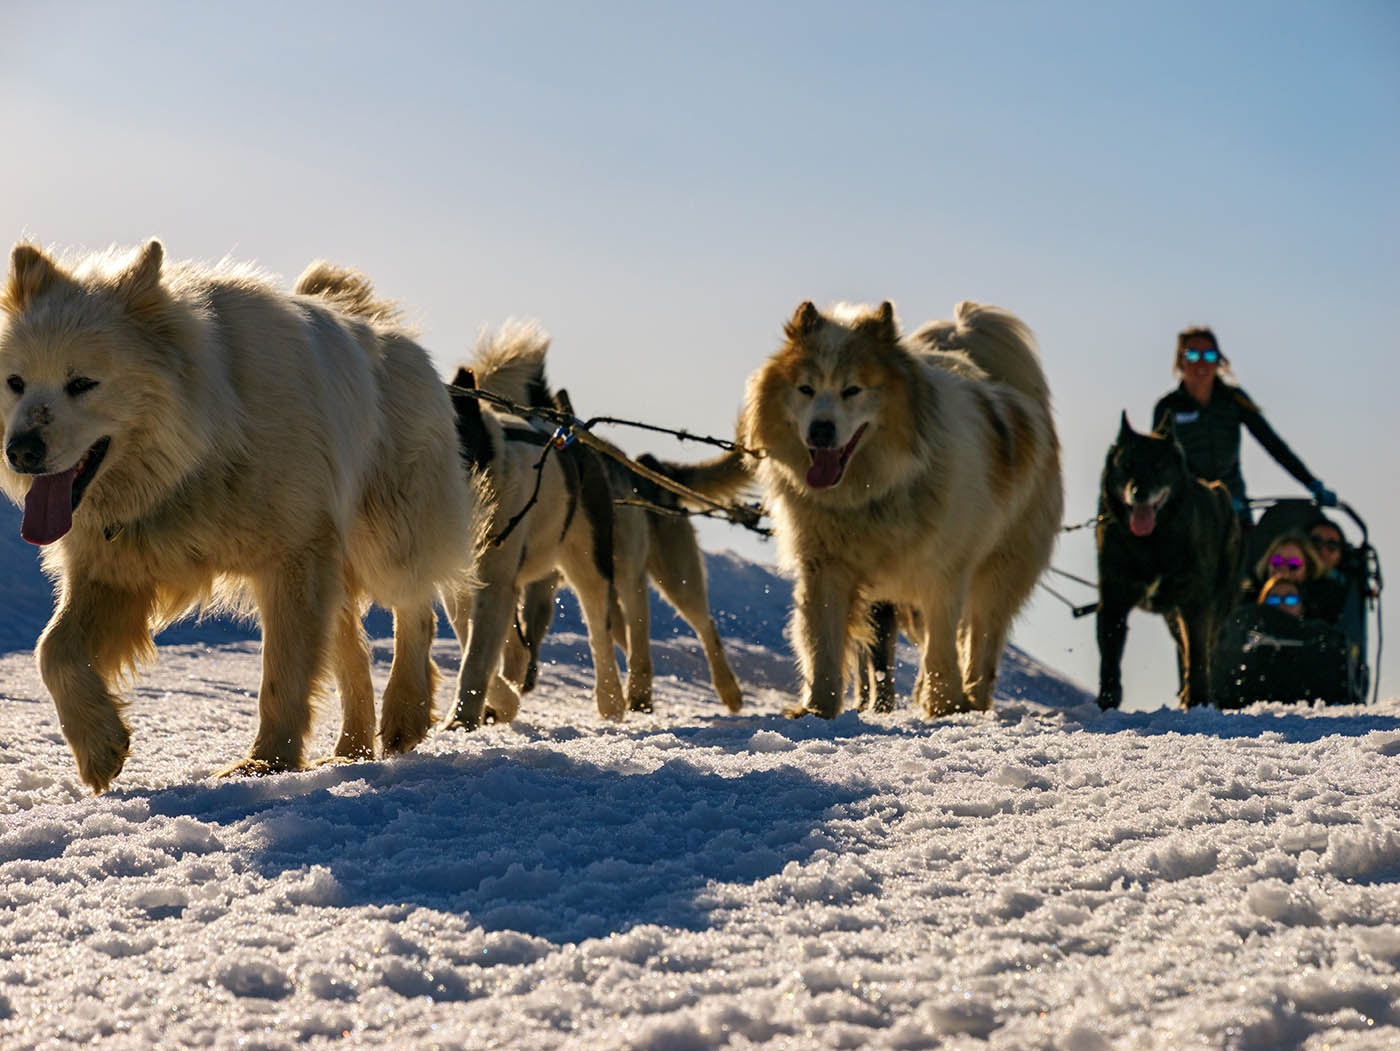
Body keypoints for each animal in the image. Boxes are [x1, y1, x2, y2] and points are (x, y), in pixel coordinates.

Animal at [0, 242, 476, 794]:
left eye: (82, 383)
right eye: (15, 383)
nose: (20, 451)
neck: (203, 445)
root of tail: (386, 328)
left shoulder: (294, 558)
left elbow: (283, 675)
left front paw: (266, 765)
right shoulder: (114, 573)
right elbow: (52, 651)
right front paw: (99, 746)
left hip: (386, 537)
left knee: (416, 609)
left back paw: (405, 713)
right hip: (338, 572)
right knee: (355, 655)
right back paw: (350, 753)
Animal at [744, 299, 1058, 722]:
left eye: (852, 390)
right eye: (805, 389)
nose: (821, 431)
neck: (873, 491)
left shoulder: (944, 572)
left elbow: (943, 648)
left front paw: (946, 708)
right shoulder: (826, 567)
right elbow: (822, 646)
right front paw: (817, 712)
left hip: (998, 573)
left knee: (981, 641)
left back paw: (973, 701)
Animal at [1097, 414, 1243, 710]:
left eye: (1158, 465)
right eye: (1127, 465)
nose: (1139, 492)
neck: (1151, 543)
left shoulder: (1195, 603)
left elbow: (1198, 656)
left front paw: (1198, 701)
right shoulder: (1113, 601)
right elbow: (1110, 659)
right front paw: (1107, 702)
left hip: (1215, 605)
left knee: (1204, 649)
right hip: (1172, 616)